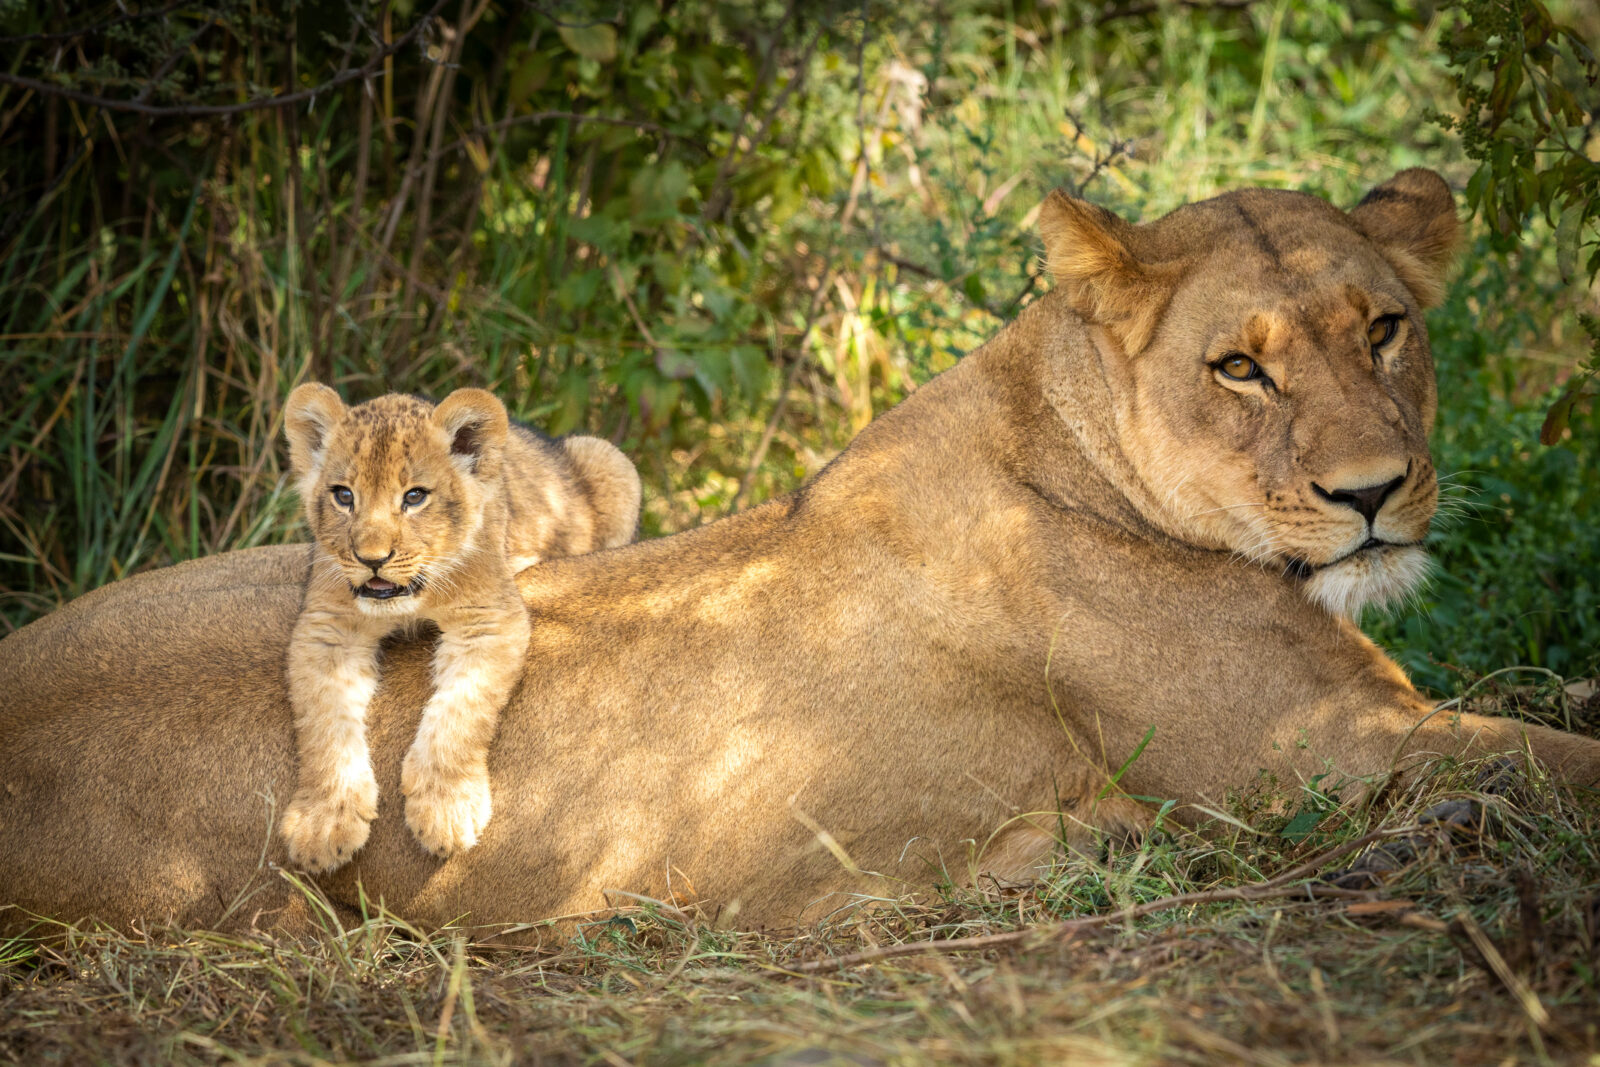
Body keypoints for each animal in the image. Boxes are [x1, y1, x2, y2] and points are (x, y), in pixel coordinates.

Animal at [277, 385, 641, 874]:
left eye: (415, 496)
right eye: (343, 495)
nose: (372, 559)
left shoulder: (489, 618)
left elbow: (459, 713)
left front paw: (445, 810)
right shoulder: (327, 627)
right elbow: (323, 727)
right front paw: (323, 822)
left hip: (609, 459)